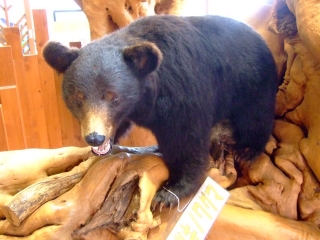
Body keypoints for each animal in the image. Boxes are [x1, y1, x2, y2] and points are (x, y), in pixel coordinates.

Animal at [42, 15, 278, 206]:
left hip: (251, 82)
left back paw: (246, 150)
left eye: (114, 98)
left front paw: (169, 192)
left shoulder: (183, 92)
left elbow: (186, 138)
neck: (148, 96)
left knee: (255, 116)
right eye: (77, 99)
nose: (95, 138)